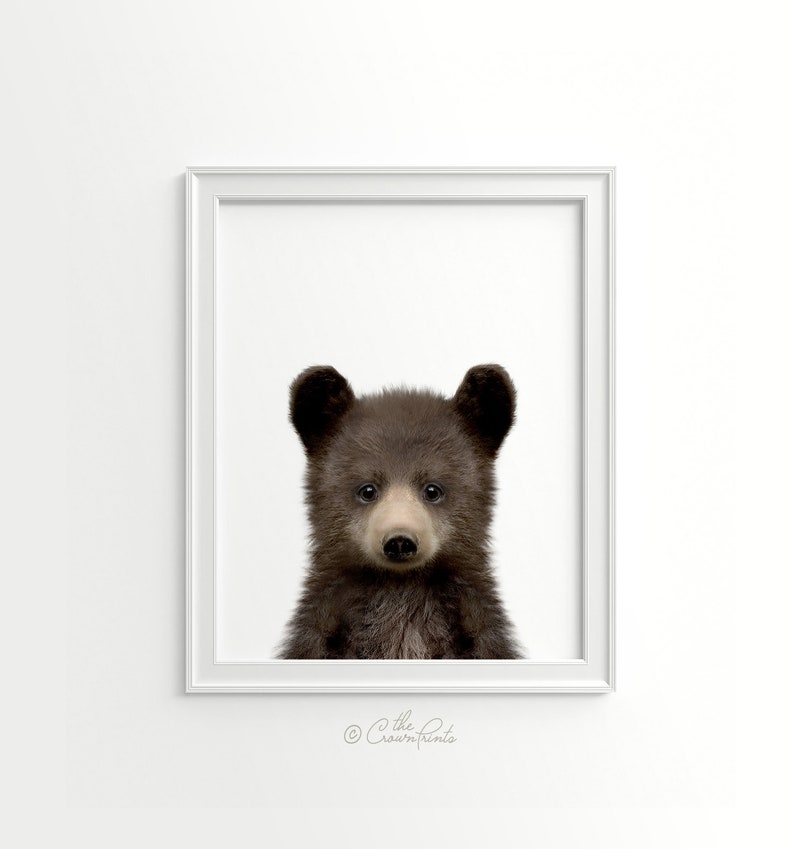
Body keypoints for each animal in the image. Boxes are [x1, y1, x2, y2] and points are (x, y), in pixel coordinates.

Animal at [277, 364, 522, 660]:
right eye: (367, 489)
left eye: (433, 489)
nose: (400, 541)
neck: (400, 586)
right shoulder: (320, 631)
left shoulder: (478, 631)